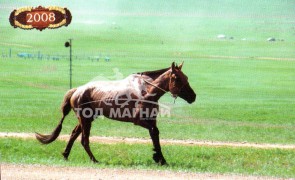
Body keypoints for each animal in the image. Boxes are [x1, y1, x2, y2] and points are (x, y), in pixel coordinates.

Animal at [35, 61, 198, 165]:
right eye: (177, 78)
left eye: (186, 77)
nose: (193, 96)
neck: (146, 91)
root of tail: (77, 90)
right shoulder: (138, 121)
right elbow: (154, 132)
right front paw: (158, 157)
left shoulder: (152, 119)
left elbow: (155, 135)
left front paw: (160, 158)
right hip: (85, 119)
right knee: (84, 140)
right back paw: (94, 160)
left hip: (87, 119)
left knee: (74, 134)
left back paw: (66, 155)